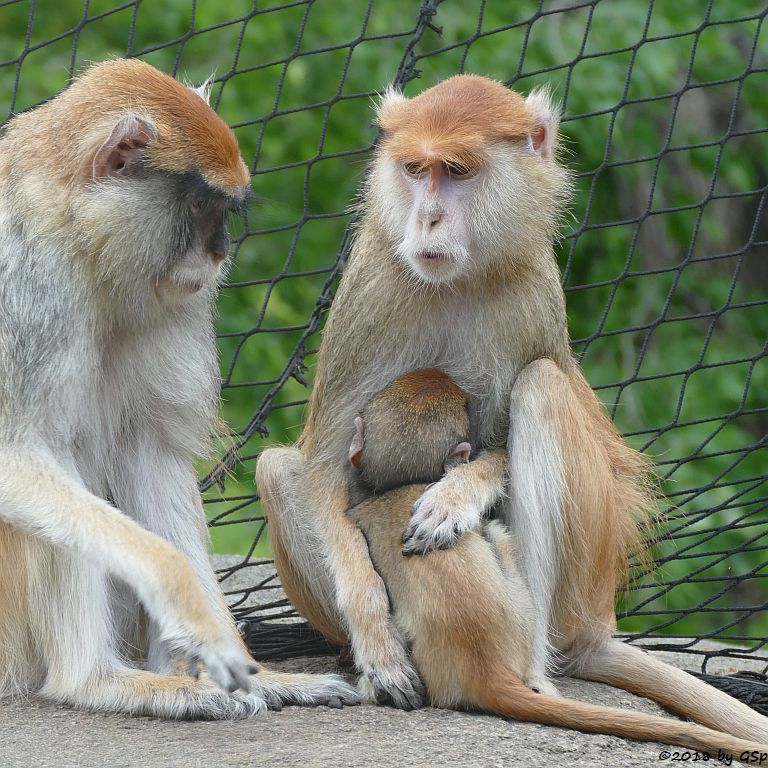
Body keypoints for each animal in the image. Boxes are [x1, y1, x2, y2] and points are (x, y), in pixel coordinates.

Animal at [0, 60, 356, 720]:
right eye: (197, 203)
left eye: (224, 210)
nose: (219, 254)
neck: (81, 241)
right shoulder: (28, 291)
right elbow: (18, 455)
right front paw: (179, 591)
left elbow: (152, 448)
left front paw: (245, 668)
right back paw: (96, 681)